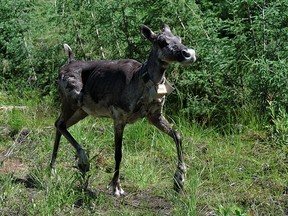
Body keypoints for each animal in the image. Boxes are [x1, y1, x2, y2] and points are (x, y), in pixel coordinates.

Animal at [50, 24, 197, 197]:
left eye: (179, 38)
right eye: (162, 42)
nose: (189, 54)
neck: (141, 81)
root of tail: (67, 62)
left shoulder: (154, 115)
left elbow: (177, 135)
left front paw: (180, 179)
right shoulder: (119, 117)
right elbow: (118, 153)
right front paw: (116, 187)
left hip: (82, 110)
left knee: (60, 124)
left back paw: (63, 168)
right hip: (70, 101)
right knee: (59, 123)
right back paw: (75, 163)